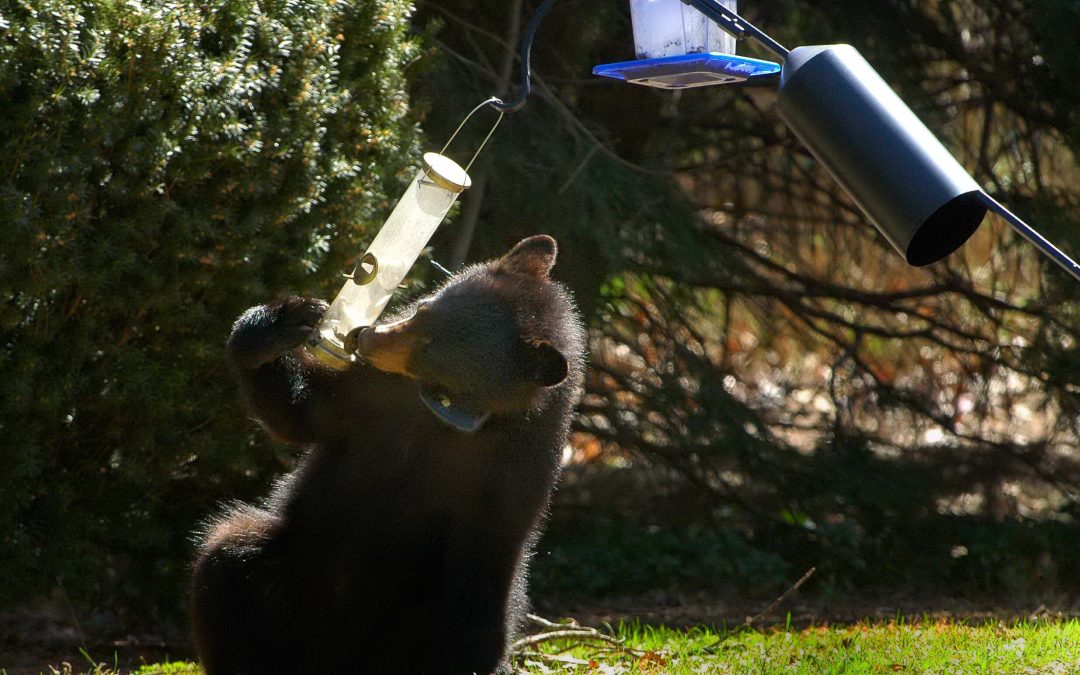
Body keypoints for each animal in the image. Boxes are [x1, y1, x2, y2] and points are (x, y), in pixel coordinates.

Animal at [190, 235, 586, 675]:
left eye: (434, 350)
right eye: (424, 308)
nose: (365, 337)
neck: (445, 412)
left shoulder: (515, 474)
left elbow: (482, 584)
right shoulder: (375, 394)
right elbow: (302, 414)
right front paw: (278, 325)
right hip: (291, 574)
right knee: (227, 560)